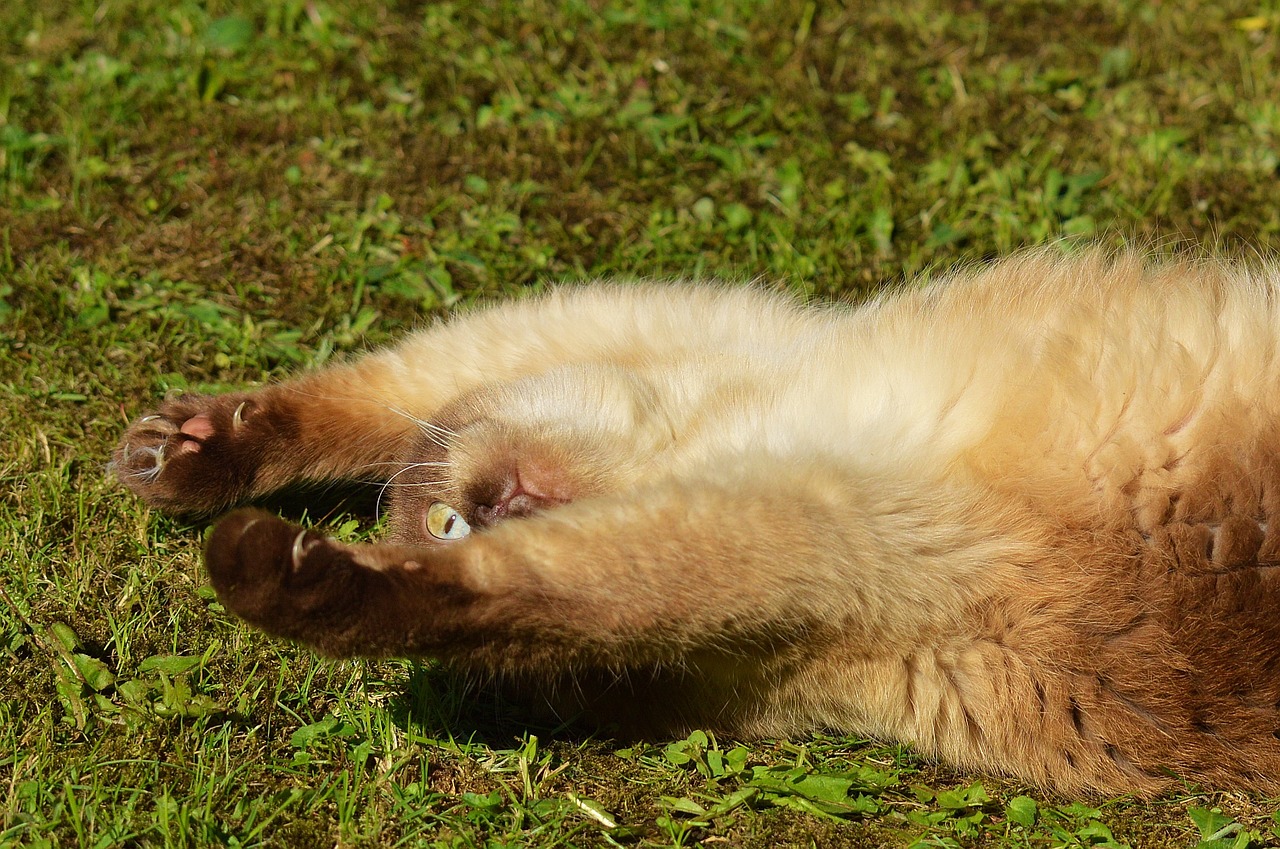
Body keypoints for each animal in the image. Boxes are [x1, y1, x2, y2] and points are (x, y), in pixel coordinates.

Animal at [112, 250, 1280, 799]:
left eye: (443, 518)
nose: (490, 508)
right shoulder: (804, 538)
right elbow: (523, 592)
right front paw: (213, 490)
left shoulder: (736, 336)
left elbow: (387, 392)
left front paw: (195, 459)